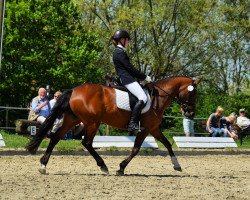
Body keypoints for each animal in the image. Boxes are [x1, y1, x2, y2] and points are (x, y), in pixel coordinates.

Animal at [25, 76, 201, 174]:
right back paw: (103, 166)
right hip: (92, 122)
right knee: (86, 142)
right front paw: (121, 167)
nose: (190, 113)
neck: (158, 98)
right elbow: (136, 149)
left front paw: (177, 165)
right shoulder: (144, 129)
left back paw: (43, 165)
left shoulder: (154, 128)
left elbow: (168, 144)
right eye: (193, 93)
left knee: (55, 137)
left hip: (72, 119)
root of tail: (73, 90)